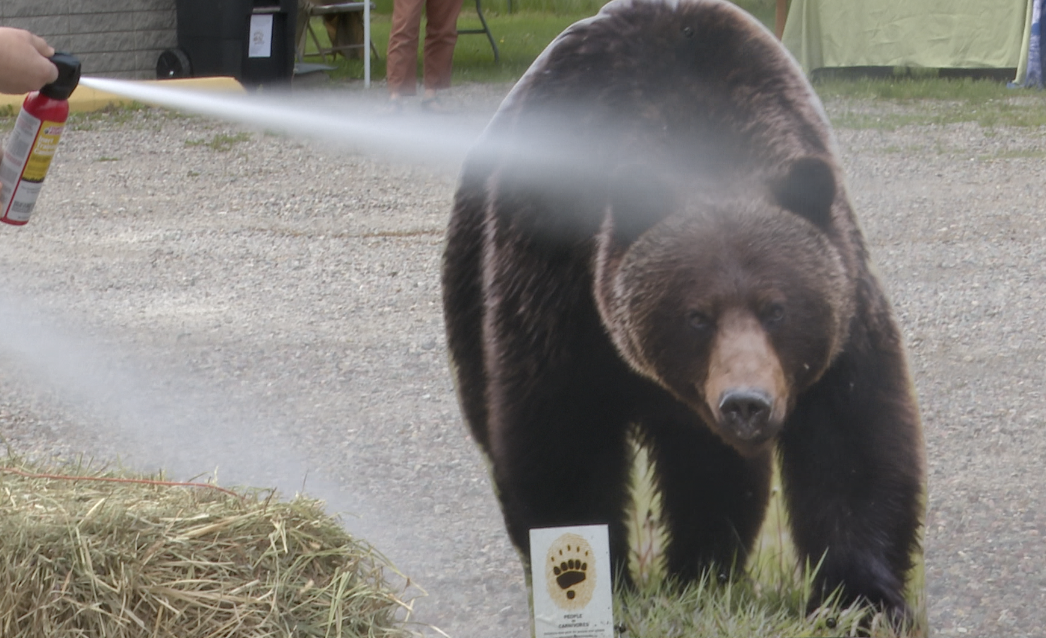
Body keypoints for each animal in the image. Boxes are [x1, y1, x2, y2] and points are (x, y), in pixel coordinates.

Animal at [441, 0, 924, 622]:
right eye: (697, 315)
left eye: (777, 308)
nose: (746, 402)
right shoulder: (555, 282)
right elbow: (559, 432)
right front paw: (592, 580)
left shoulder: (842, 306)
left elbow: (853, 440)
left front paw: (863, 599)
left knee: (711, 469)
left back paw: (703, 570)